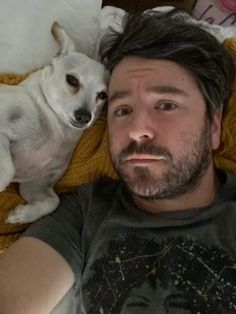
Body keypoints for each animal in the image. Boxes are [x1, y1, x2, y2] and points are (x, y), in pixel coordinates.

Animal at [0, 22, 108, 223]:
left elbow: (53, 201)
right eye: (72, 80)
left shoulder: (36, 185)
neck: (56, 127)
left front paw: (21, 215)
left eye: (103, 95)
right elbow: (7, 169)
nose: (84, 116)